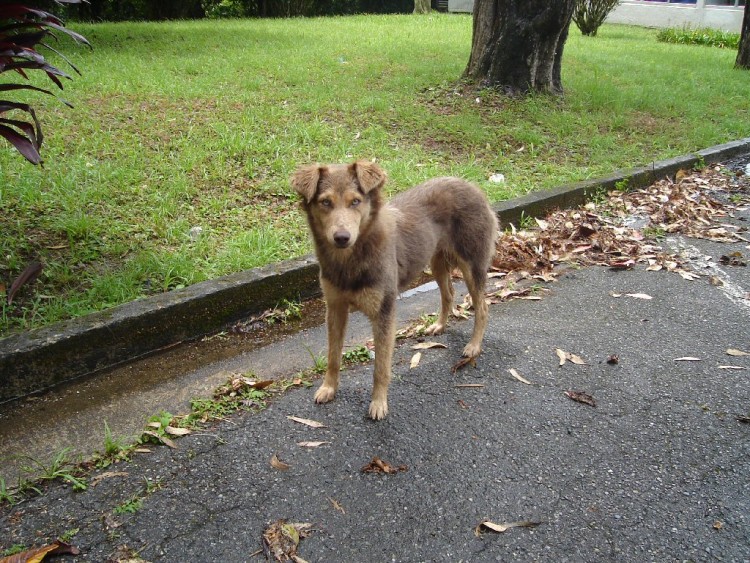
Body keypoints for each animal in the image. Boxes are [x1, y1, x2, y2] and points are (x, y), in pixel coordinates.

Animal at [294, 161, 500, 420]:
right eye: (325, 202)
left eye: (355, 201)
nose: (342, 237)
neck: (351, 259)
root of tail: (473, 186)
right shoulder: (335, 309)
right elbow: (333, 356)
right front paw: (329, 388)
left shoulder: (384, 313)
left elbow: (380, 367)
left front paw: (378, 403)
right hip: (436, 261)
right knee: (448, 294)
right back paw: (440, 325)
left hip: (472, 265)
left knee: (482, 306)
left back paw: (473, 346)